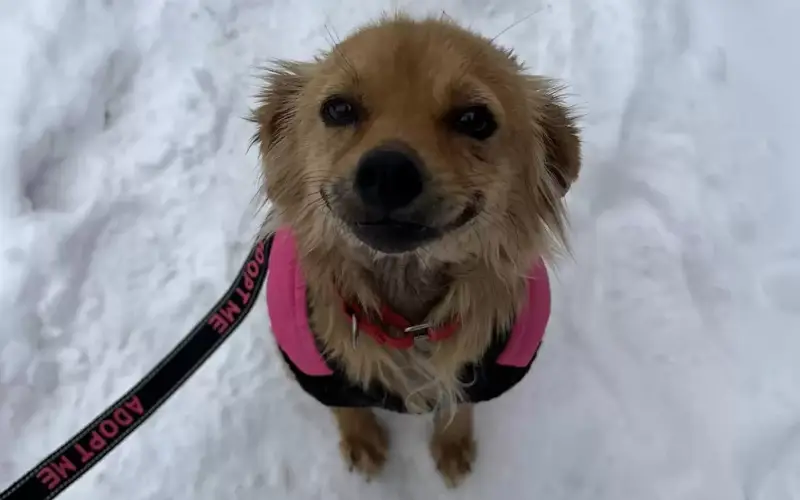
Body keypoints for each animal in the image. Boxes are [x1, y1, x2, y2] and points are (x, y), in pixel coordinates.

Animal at [252, 13, 580, 486]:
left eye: (474, 118)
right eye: (338, 109)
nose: (388, 172)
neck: (408, 322)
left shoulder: (483, 370)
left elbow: (458, 403)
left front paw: (452, 445)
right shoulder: (314, 367)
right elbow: (345, 407)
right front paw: (362, 439)